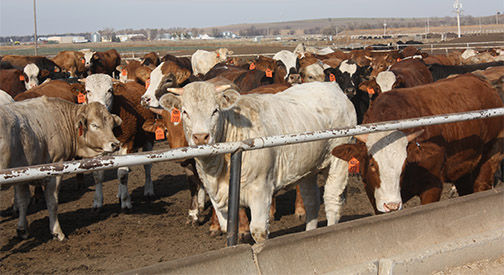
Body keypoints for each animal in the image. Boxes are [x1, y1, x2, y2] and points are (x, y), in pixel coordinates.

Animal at [0, 98, 121, 240]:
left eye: (112, 125)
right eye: (95, 125)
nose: (115, 144)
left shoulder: (21, 174)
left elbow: (23, 201)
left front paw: (22, 229)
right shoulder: (55, 169)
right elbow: (52, 202)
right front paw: (58, 232)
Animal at [156, 81, 356, 243]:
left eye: (215, 110)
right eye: (185, 112)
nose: (200, 137)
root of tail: (333, 87)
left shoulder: (261, 190)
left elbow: (258, 231)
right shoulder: (217, 196)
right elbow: (229, 230)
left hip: (339, 158)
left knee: (332, 200)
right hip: (308, 167)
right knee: (311, 202)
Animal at [332, 74, 502, 215]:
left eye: (404, 164)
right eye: (372, 164)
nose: (392, 205)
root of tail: (485, 84)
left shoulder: (432, 186)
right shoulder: (374, 195)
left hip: (492, 155)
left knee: (482, 184)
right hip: (463, 169)